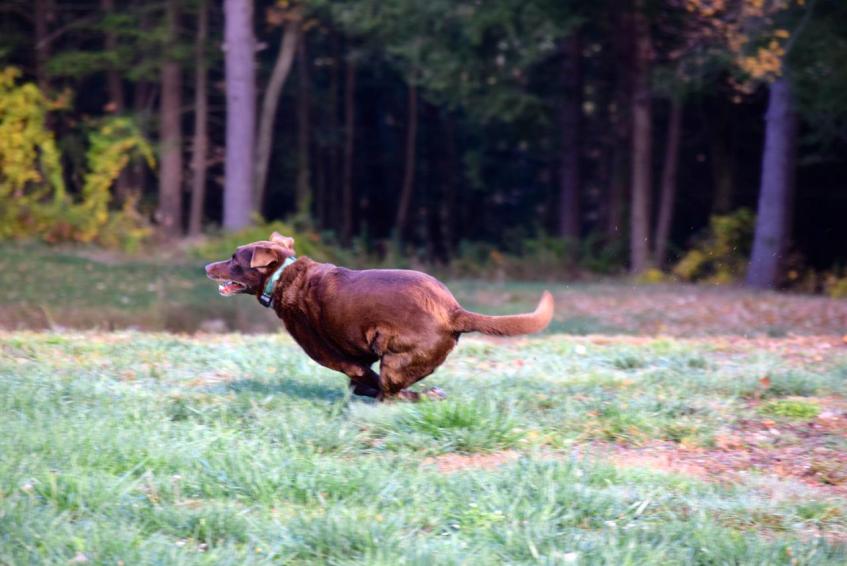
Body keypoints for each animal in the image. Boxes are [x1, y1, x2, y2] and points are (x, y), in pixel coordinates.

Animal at [205, 232, 554, 401]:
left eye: (234, 259)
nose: (206, 266)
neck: (284, 277)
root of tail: (454, 311)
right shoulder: (359, 357)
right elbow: (358, 384)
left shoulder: (343, 360)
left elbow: (362, 380)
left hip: (396, 357)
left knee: (392, 394)